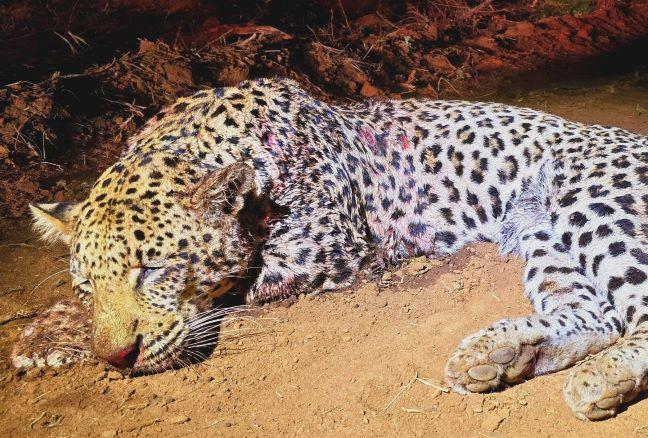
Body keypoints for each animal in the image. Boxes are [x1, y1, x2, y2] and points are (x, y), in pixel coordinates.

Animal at [10, 77, 648, 421]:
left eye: (154, 270)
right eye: (87, 285)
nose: (118, 360)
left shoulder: (324, 249)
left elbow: (233, 292)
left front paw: (51, 336)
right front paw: (53, 330)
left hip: (595, 200)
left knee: (634, 309)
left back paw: (601, 380)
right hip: (545, 233)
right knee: (596, 315)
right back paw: (503, 356)